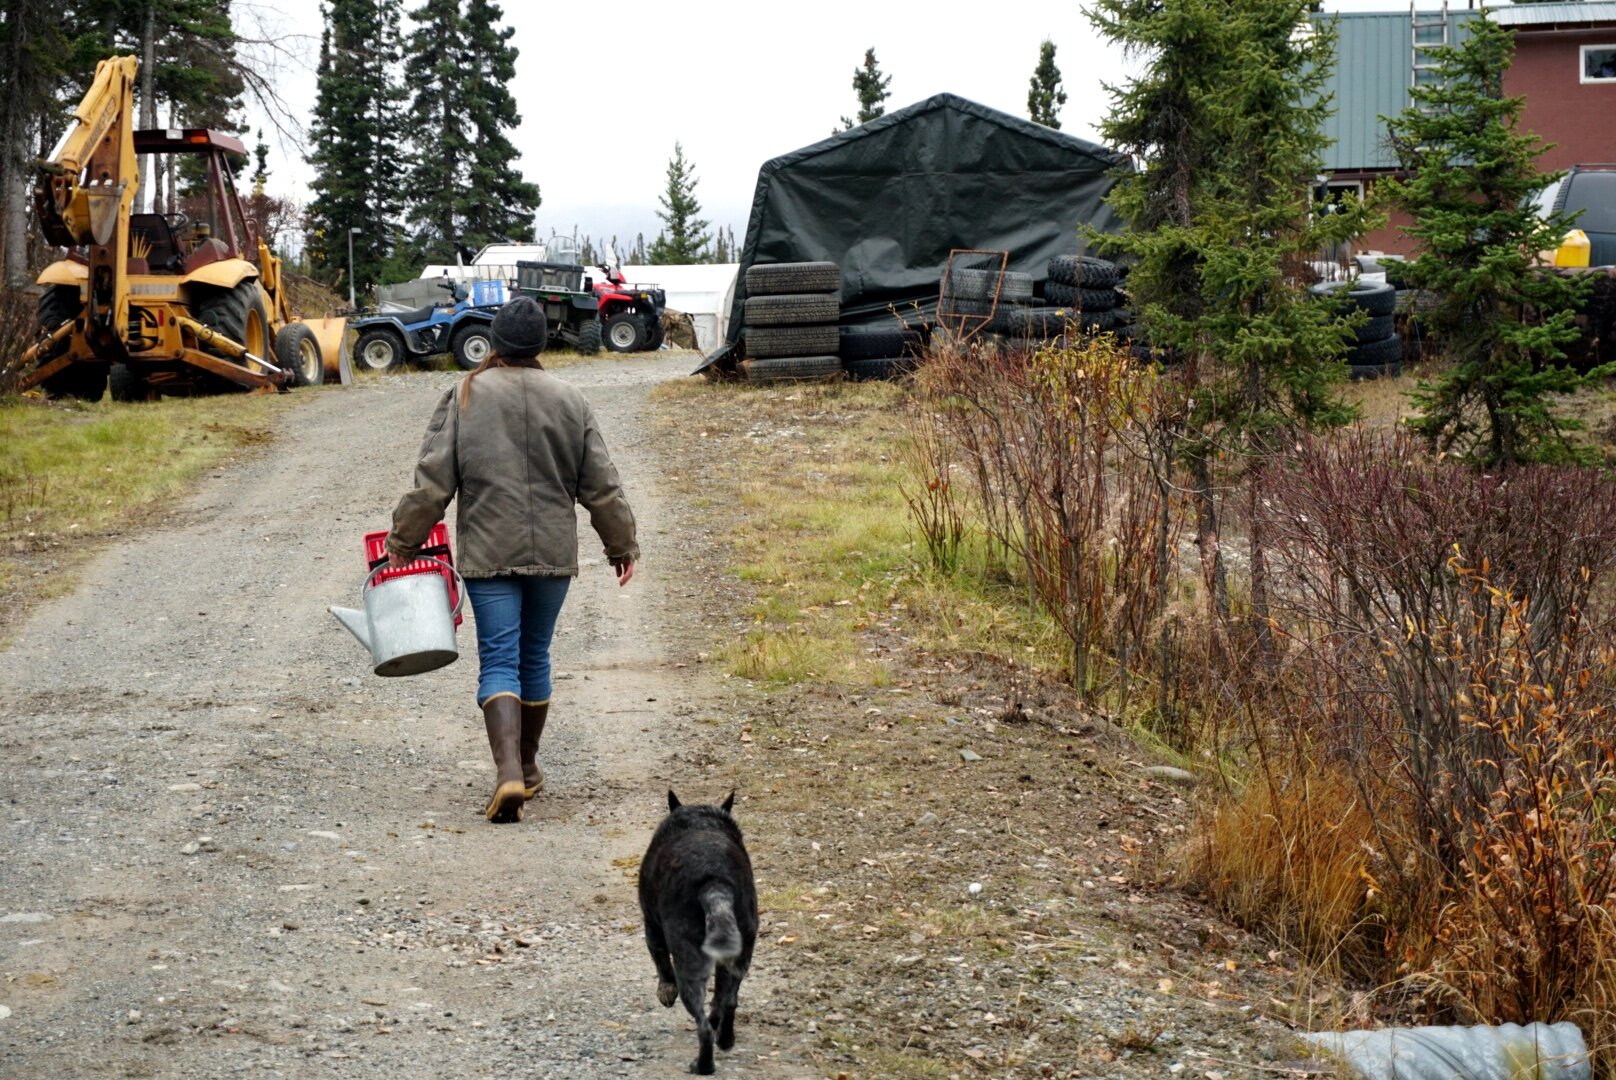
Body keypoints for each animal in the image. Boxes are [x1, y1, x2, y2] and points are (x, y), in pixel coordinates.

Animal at [636, 788, 756, 1073]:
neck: (701, 821)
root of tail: (715, 882)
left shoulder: (651, 927)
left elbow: (660, 963)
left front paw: (665, 991)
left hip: (689, 963)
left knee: (702, 1025)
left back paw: (702, 1065)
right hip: (739, 955)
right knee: (728, 1001)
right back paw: (725, 1039)